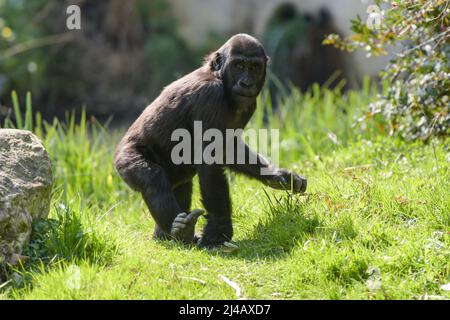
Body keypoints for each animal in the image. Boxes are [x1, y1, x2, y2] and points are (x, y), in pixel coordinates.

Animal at [114, 33, 308, 248]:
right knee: (153, 179)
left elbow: (229, 149)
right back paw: (180, 230)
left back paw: (168, 236)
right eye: (239, 65)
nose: (246, 83)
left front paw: (279, 175)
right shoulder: (210, 96)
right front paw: (219, 231)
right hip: (126, 156)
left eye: (254, 67)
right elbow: (209, 163)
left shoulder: (249, 105)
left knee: (181, 186)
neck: (220, 78)